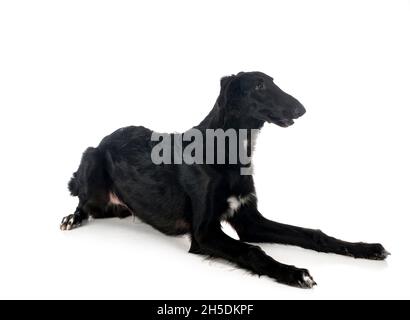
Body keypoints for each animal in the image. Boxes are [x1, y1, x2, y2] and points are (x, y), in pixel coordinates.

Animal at [61, 72, 390, 288]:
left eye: (273, 81)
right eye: (259, 85)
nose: (302, 109)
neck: (227, 152)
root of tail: (106, 137)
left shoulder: (250, 219)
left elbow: (311, 234)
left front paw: (366, 248)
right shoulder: (205, 233)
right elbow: (251, 250)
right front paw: (294, 272)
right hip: (92, 158)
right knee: (82, 199)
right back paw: (72, 218)